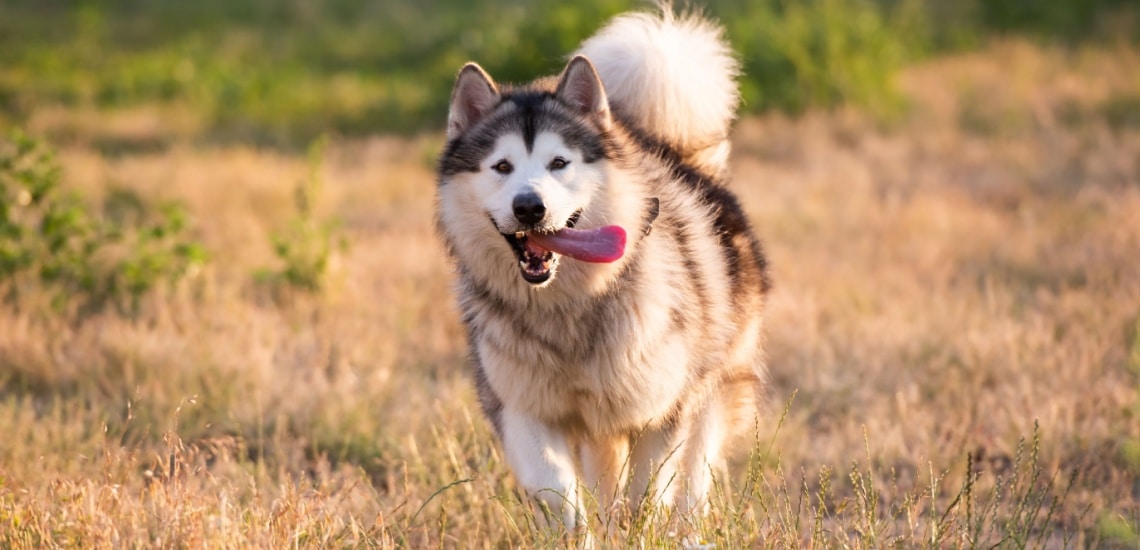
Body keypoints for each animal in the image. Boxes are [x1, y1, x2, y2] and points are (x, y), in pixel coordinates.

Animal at [430, 6, 770, 534]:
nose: (529, 207)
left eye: (559, 162)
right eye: (501, 166)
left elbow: (649, 496)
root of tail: (678, 153)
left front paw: (642, 531)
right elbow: (560, 497)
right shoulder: (523, 407)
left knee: (693, 486)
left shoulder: (663, 411)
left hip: (711, 390)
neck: (570, 303)